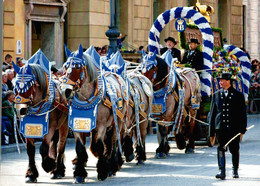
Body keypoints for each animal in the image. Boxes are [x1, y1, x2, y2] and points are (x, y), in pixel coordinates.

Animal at [11, 50, 68, 182]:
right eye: (15, 85)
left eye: (29, 85)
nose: (20, 110)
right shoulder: (27, 127)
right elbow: (30, 150)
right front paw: (31, 173)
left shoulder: (50, 127)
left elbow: (43, 148)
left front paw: (49, 165)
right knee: (55, 144)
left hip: (64, 124)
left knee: (60, 145)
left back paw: (58, 170)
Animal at [60, 44, 127, 183]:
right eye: (65, 66)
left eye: (77, 67)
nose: (65, 91)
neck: (86, 99)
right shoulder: (77, 125)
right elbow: (80, 148)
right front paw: (79, 174)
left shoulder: (101, 125)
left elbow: (100, 146)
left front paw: (102, 171)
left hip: (117, 122)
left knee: (113, 142)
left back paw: (112, 165)